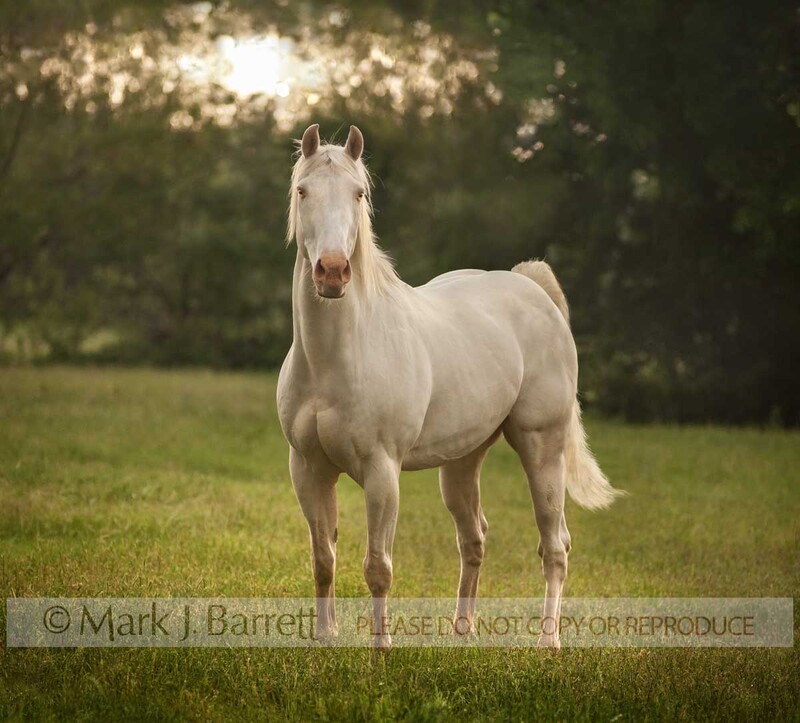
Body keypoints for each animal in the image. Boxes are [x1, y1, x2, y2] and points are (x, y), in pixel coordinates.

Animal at [277, 123, 623, 649]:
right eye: (303, 191)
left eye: (359, 194)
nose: (333, 272)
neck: (334, 359)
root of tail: (532, 289)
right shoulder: (308, 469)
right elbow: (323, 559)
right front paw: (325, 638)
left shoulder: (382, 471)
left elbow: (377, 567)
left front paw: (380, 650)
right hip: (462, 462)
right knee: (473, 537)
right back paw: (463, 631)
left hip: (542, 447)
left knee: (554, 544)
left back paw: (547, 642)